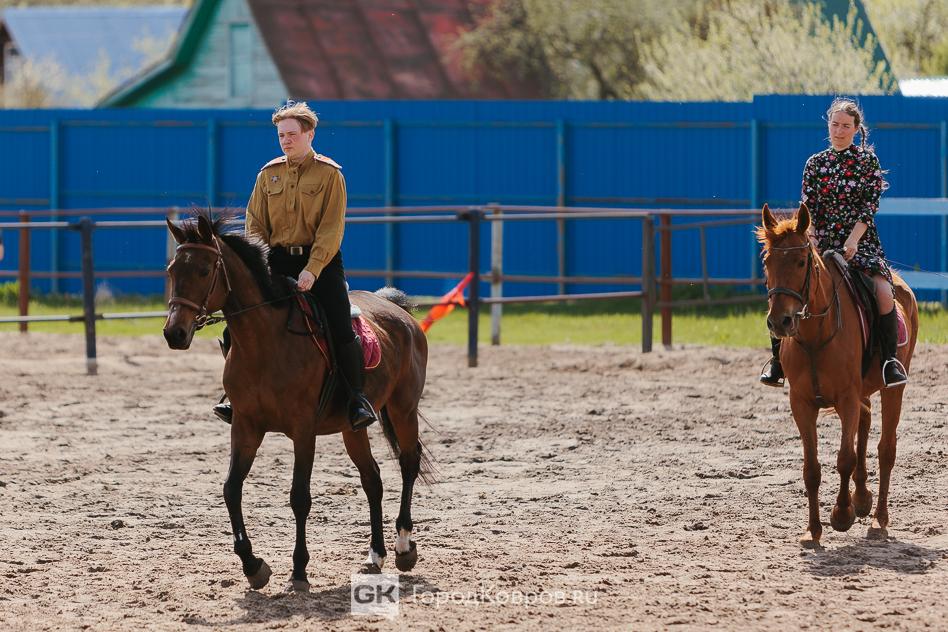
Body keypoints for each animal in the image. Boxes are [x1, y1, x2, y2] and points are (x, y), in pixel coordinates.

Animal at [162, 211, 432, 591]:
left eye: (203, 270)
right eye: (172, 270)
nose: (175, 333)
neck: (265, 342)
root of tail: (397, 309)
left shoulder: (303, 430)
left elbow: (299, 497)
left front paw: (299, 570)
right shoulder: (245, 426)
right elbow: (231, 489)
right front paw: (253, 566)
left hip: (403, 408)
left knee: (408, 463)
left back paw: (404, 546)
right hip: (352, 428)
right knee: (373, 479)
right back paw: (375, 555)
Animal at [757, 203, 918, 547]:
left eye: (801, 262)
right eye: (767, 262)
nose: (780, 322)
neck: (815, 335)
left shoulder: (846, 398)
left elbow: (844, 458)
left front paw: (842, 515)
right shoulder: (801, 403)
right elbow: (811, 468)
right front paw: (813, 530)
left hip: (892, 389)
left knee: (886, 448)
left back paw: (878, 519)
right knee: (865, 425)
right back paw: (862, 498)